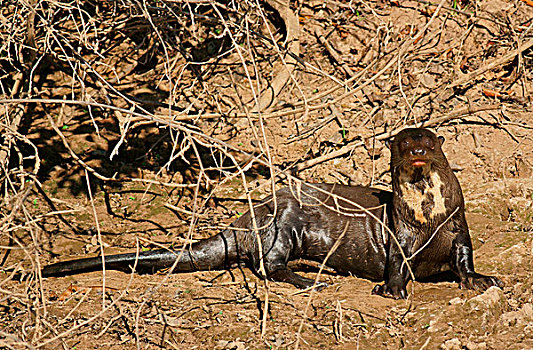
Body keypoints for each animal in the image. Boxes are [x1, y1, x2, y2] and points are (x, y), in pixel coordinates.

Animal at [39, 129, 500, 298]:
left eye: (430, 142)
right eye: (404, 143)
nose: (418, 150)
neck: (428, 218)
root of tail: (245, 219)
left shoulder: (457, 228)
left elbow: (464, 259)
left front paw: (482, 279)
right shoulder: (400, 236)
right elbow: (397, 264)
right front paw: (392, 290)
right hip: (285, 225)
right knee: (267, 264)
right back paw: (308, 279)